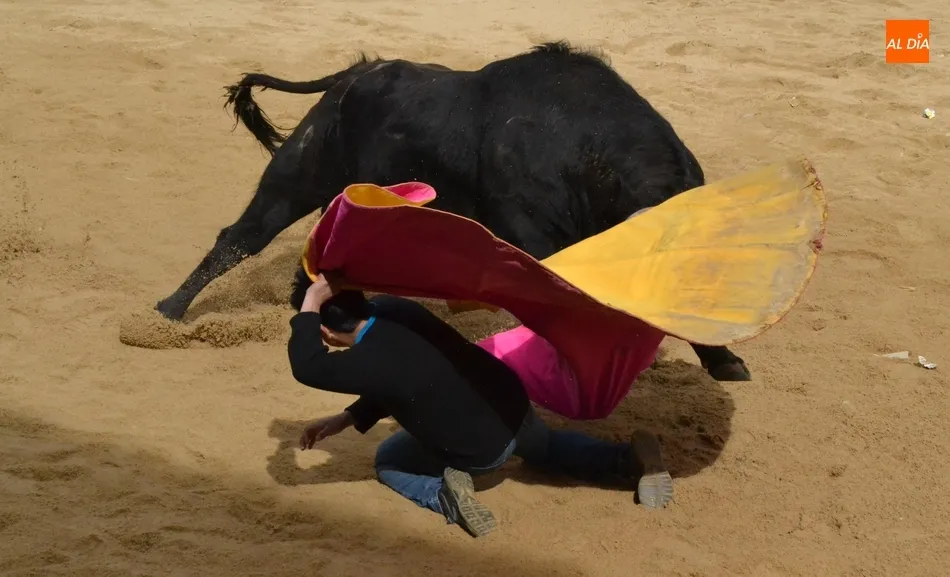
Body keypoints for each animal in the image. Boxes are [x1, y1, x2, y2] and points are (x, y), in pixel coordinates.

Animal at [154, 41, 751, 382]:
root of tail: (354, 74)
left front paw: (725, 364)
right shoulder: (536, 240)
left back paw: (319, 308)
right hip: (297, 174)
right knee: (241, 236)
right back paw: (167, 312)